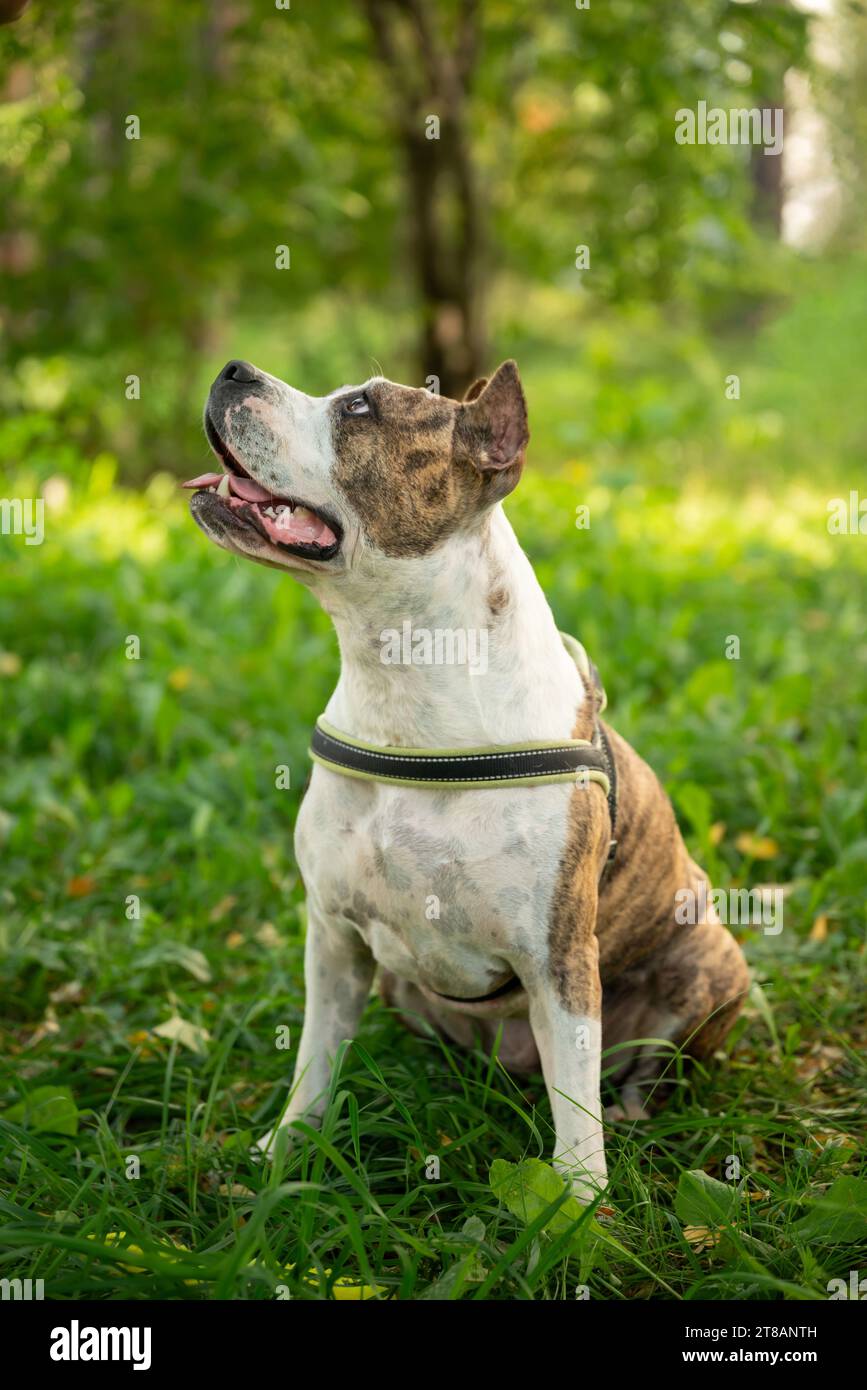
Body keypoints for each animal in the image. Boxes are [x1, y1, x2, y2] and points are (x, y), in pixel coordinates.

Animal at [186, 353, 750, 1200]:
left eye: (359, 408)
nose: (233, 370)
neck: (404, 679)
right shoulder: (333, 939)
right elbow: (314, 1058)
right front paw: (286, 1149)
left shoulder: (556, 961)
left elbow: (574, 1105)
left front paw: (578, 1207)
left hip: (710, 962)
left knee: (637, 1073)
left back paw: (629, 1110)